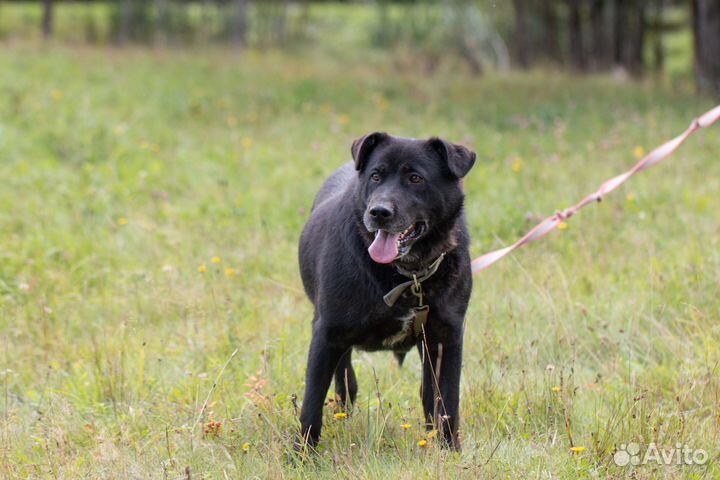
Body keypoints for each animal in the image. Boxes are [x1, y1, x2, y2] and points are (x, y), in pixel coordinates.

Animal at [296, 132, 476, 450]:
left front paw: (450, 451)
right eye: (376, 176)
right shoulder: (327, 334)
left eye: (415, 178)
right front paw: (301, 455)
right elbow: (311, 405)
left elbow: (447, 403)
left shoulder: (446, 337)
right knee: (346, 382)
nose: (379, 212)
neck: (407, 275)